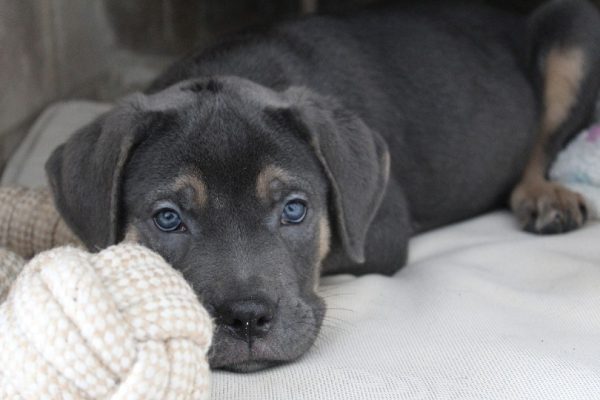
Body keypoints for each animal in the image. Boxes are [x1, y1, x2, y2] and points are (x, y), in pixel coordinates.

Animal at [45, 1, 600, 372]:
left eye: (294, 210)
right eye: (168, 218)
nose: (247, 320)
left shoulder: (378, 232)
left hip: (575, 29)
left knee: (540, 148)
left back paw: (545, 197)